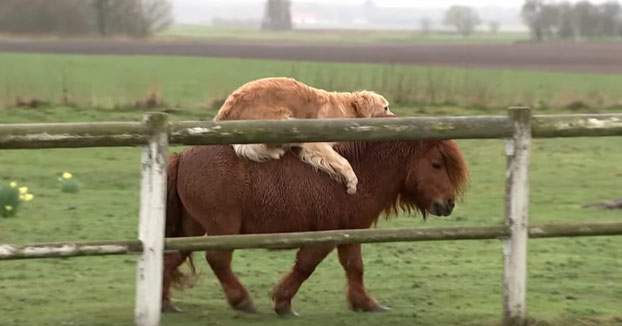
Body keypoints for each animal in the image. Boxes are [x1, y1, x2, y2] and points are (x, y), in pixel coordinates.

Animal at [161, 138, 468, 316]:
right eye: (436, 164)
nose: (448, 203)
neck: (354, 174)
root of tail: (182, 156)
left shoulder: (349, 232)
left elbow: (354, 267)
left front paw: (365, 303)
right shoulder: (324, 236)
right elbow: (305, 266)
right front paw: (282, 302)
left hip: (193, 229)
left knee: (171, 257)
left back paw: (165, 304)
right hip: (221, 227)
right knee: (218, 259)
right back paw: (242, 301)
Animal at [212, 77, 392, 194]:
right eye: (385, 107)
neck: (349, 110)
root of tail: (223, 114)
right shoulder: (316, 143)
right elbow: (344, 162)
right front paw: (352, 183)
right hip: (284, 119)